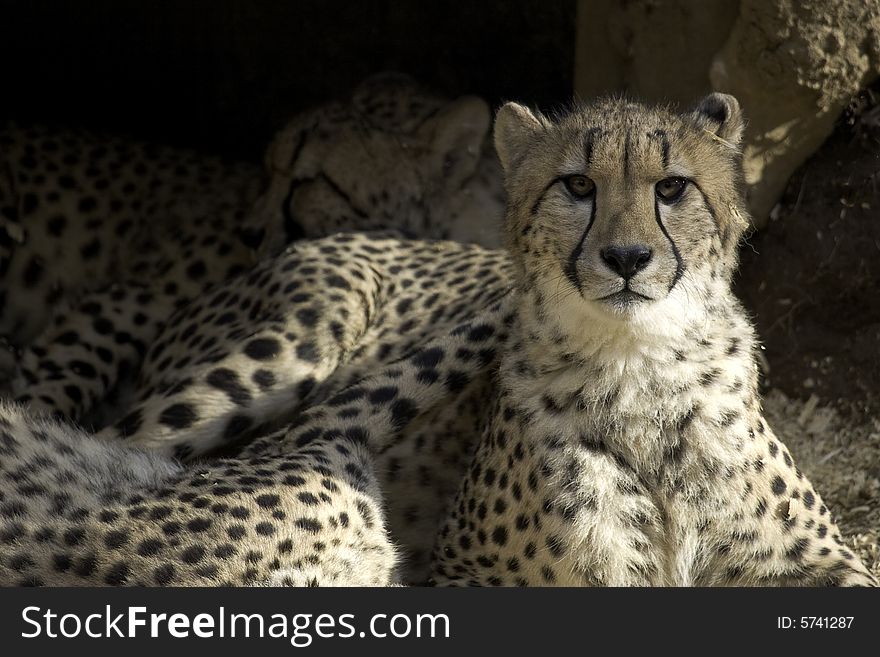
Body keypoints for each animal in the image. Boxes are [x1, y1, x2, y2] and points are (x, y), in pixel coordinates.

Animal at [430, 92, 876, 584]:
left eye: (671, 187)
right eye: (579, 185)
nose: (627, 257)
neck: (637, 362)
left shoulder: (819, 556)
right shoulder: (463, 569)